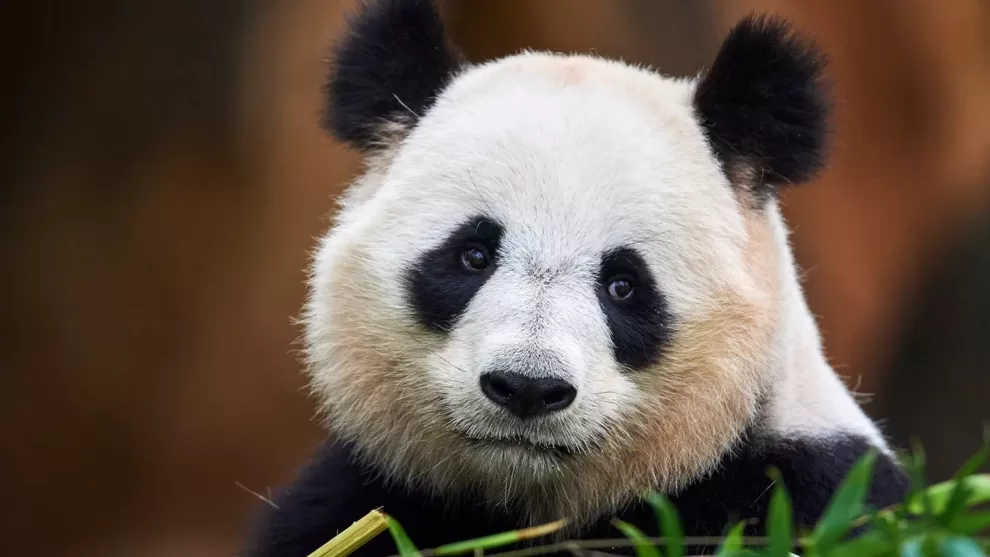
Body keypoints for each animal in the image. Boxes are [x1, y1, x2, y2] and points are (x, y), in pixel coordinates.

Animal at [246, 0, 910, 555]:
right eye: (473, 255)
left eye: (623, 285)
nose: (527, 387)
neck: (530, 506)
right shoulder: (367, 492)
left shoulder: (804, 489)